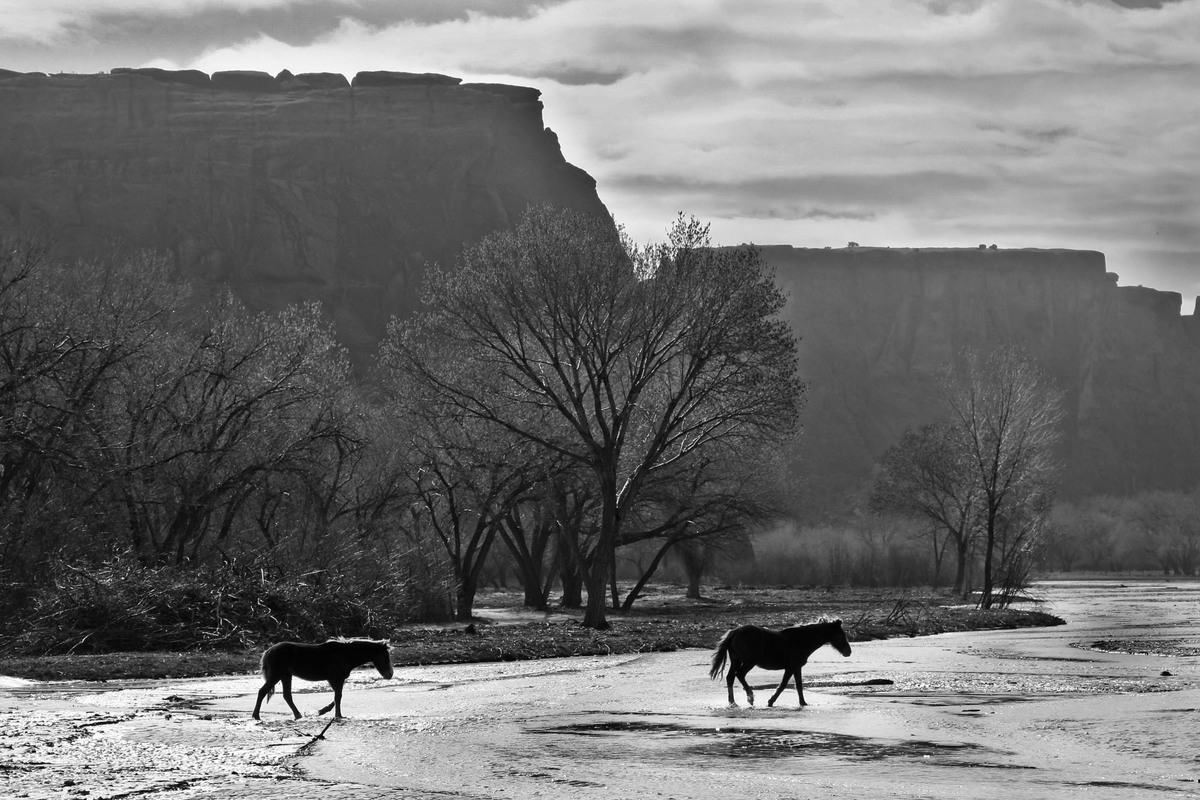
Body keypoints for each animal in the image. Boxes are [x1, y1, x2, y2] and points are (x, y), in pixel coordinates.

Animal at [252, 638, 394, 720]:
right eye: (385, 656)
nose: (390, 674)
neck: (345, 654)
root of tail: (269, 650)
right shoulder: (337, 679)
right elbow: (338, 697)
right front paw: (338, 715)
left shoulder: (334, 680)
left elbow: (336, 698)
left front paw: (322, 711)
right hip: (276, 675)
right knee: (262, 692)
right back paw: (256, 716)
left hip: (286, 676)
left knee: (287, 696)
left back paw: (298, 715)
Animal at [709, 620, 852, 707]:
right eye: (841, 635)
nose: (848, 652)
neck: (803, 640)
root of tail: (734, 632)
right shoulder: (791, 667)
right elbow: (783, 685)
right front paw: (770, 701)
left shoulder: (797, 668)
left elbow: (799, 686)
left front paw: (803, 703)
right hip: (749, 662)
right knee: (739, 675)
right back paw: (750, 697)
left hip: (736, 661)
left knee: (730, 677)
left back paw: (732, 702)